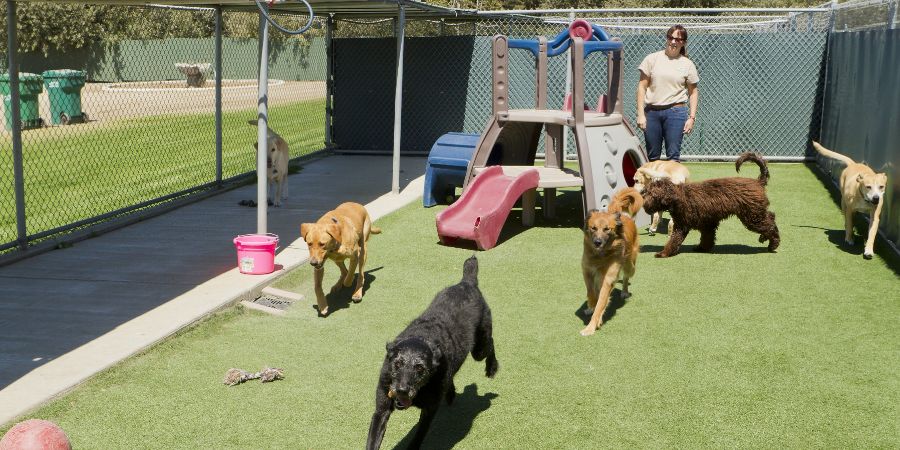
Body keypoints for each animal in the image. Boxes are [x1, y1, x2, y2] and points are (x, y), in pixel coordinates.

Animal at [370, 256, 502, 450]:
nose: (401, 390)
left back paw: (491, 368)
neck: (422, 336)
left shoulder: (428, 412)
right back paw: (451, 393)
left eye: (420, 368)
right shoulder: (381, 410)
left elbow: (417, 439)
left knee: (491, 343)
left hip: (479, 349)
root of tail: (467, 282)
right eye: (397, 363)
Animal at [580, 187, 644, 338]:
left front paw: (590, 327)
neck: (600, 255)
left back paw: (625, 291)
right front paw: (591, 305)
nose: (597, 242)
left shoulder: (608, 279)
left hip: (630, 265)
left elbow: (601, 304)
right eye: (593, 228)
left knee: (626, 277)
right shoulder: (586, 270)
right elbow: (591, 292)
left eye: (607, 229)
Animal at [640, 152, 780, 258]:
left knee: (770, 225)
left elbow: (673, 240)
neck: (678, 196)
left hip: (752, 216)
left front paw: (663, 253)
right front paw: (702, 248)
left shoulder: (682, 226)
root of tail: (758, 182)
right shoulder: (707, 223)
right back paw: (765, 238)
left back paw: (772, 244)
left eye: (651, 194)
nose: (643, 200)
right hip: (755, 213)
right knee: (771, 217)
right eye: (647, 191)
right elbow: (706, 238)